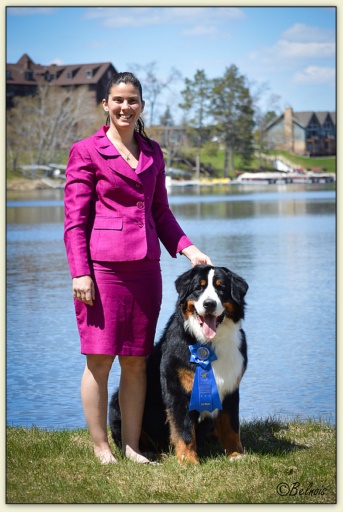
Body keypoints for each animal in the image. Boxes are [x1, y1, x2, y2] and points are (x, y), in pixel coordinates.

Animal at [110, 264, 250, 464]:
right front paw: (188, 460)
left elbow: (231, 426)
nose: (209, 304)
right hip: (116, 404)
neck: (209, 343)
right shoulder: (178, 391)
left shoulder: (230, 389)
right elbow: (184, 430)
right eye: (198, 288)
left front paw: (236, 454)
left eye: (221, 288)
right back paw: (153, 453)